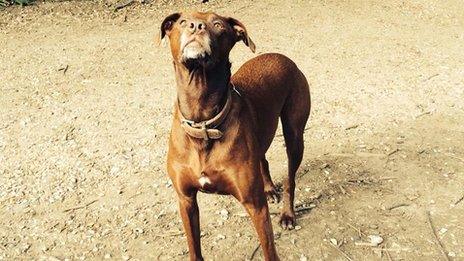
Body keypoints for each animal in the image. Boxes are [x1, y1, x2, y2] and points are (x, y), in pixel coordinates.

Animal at [159, 11, 308, 260]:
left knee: (290, 179)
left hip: (295, 136)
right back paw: (269, 188)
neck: (203, 124)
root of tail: (283, 58)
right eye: (182, 22)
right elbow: (194, 247)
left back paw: (288, 214)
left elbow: (269, 249)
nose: (196, 26)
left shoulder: (255, 205)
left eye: (218, 25)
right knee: (263, 159)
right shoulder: (186, 199)